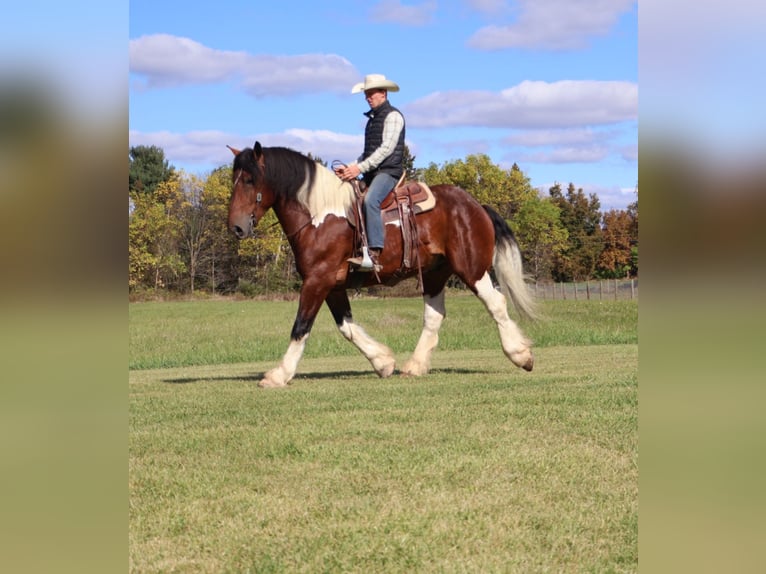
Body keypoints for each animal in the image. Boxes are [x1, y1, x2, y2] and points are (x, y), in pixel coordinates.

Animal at [227, 141, 537, 388]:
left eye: (250, 180)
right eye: (234, 180)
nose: (236, 227)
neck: (319, 216)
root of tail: (475, 205)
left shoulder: (318, 280)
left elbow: (301, 326)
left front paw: (279, 374)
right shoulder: (332, 285)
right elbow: (346, 326)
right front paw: (383, 361)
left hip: (471, 269)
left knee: (496, 303)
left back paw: (520, 354)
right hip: (436, 274)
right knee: (434, 316)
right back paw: (415, 365)